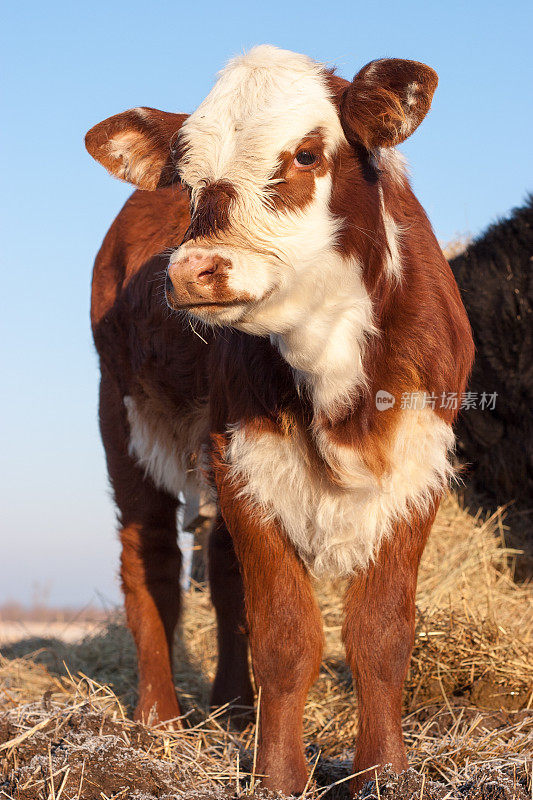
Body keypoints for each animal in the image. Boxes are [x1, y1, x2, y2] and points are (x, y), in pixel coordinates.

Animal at [87, 47, 474, 796]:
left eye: (305, 154)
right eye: (186, 179)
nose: (195, 269)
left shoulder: (418, 464)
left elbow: (382, 633)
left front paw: (382, 772)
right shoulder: (245, 457)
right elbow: (285, 635)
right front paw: (278, 775)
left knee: (219, 566)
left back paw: (234, 709)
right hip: (122, 418)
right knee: (149, 561)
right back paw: (158, 723)